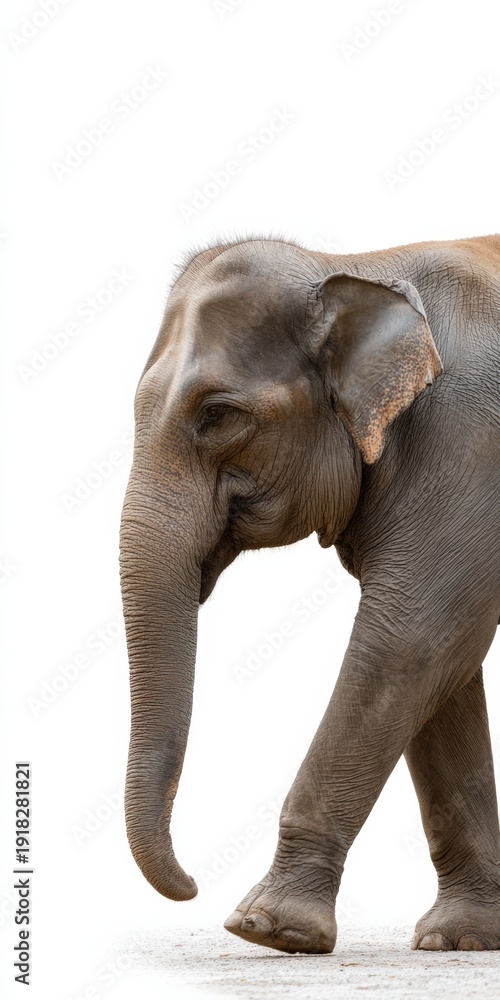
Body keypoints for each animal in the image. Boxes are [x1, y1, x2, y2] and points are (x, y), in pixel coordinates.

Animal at [119, 233, 500, 955]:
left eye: (218, 415)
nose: (191, 885)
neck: (359, 266)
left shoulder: (470, 441)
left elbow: (413, 636)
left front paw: (267, 929)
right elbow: (443, 665)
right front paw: (459, 938)